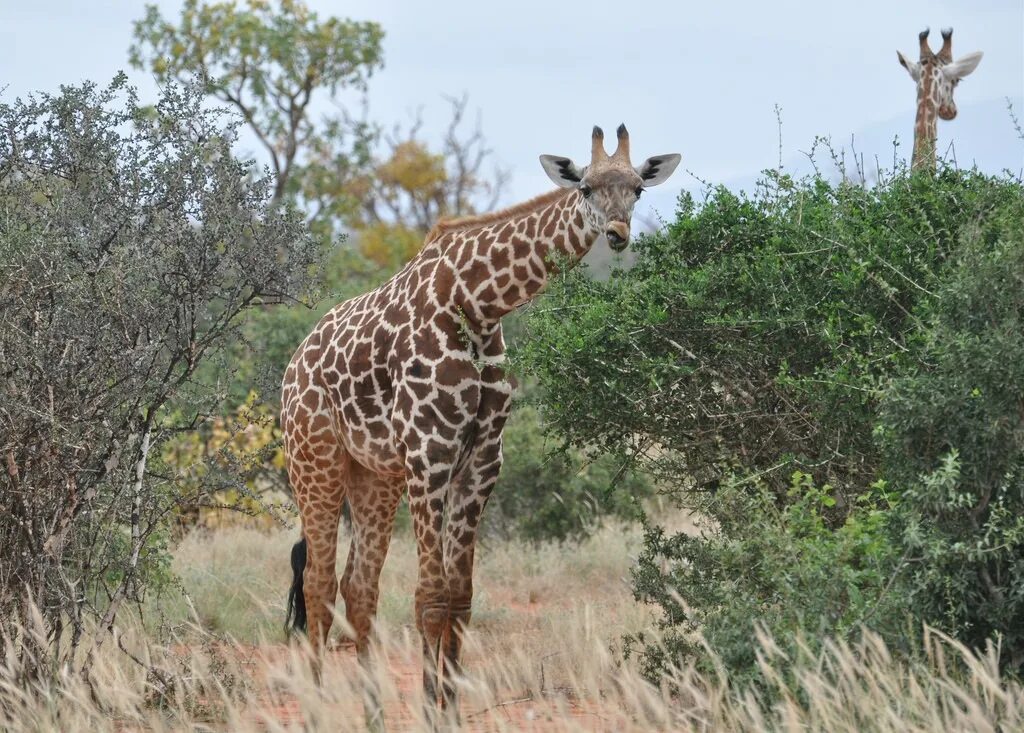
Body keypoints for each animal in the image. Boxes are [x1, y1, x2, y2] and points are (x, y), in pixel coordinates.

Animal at [280, 124, 679, 720]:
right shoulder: (430, 455)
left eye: (637, 189)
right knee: (318, 583)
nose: (616, 234)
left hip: (374, 475)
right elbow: (431, 597)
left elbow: (461, 597)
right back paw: (316, 708)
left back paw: (374, 712)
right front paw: (430, 711)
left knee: (358, 587)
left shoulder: (482, 461)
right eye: (585, 187)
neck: (477, 305)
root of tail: (292, 367)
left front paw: (448, 706)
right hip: (315, 462)